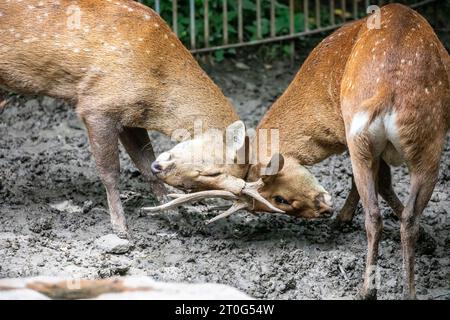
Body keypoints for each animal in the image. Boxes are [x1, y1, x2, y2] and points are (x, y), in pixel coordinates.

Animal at [149, 3, 448, 300]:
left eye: (278, 198)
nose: (324, 211)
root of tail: (386, 94)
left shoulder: (351, 141)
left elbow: (377, 183)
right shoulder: (353, 140)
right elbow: (379, 184)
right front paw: (343, 221)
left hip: (389, 142)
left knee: (382, 213)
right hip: (425, 142)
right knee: (396, 216)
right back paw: (388, 288)